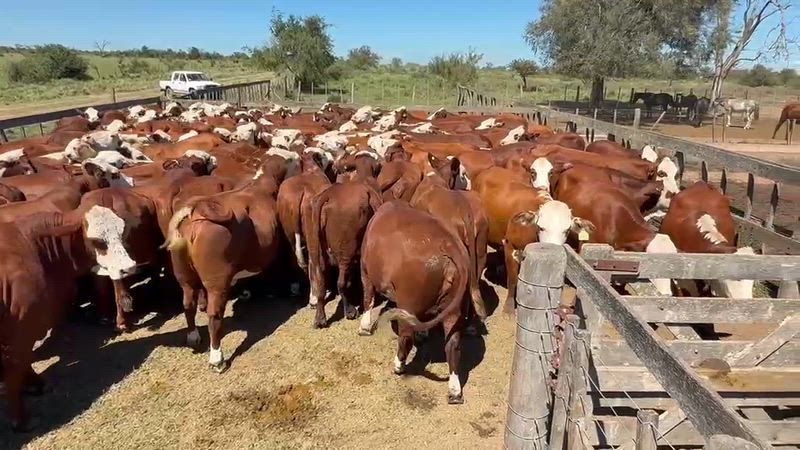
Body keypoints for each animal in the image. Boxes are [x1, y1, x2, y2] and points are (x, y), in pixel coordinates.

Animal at [359, 201, 483, 404]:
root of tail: (450, 247)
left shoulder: (365, 270)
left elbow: (368, 297)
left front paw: (363, 327)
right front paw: (424, 334)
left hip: (408, 298)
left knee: (406, 336)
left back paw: (398, 365)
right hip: (455, 307)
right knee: (453, 345)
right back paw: (455, 392)